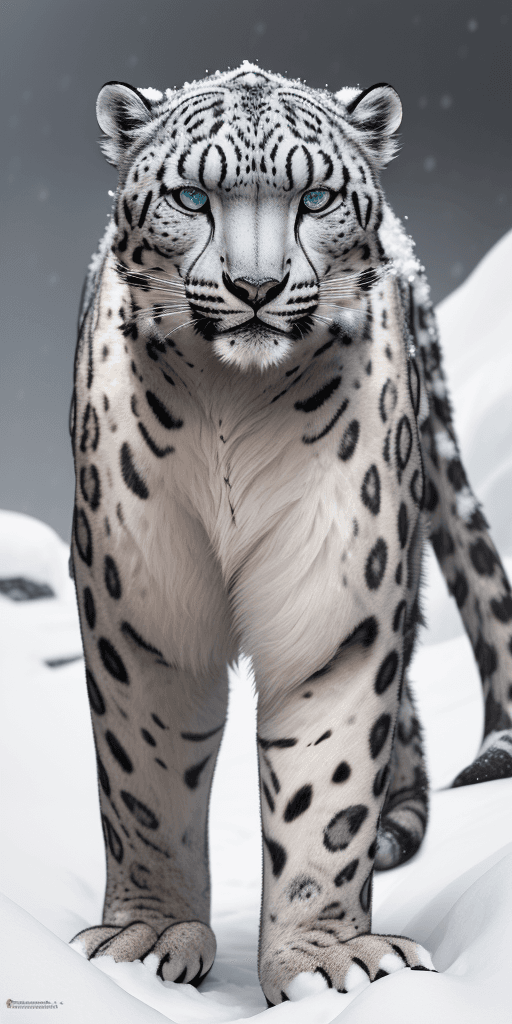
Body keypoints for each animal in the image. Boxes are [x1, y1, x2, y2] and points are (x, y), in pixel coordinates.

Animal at [69, 62, 512, 1005]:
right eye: (192, 196)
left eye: (314, 197)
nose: (256, 288)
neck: (233, 409)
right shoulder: (143, 606)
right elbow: (145, 777)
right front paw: (145, 937)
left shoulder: (336, 601)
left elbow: (329, 779)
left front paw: (326, 960)